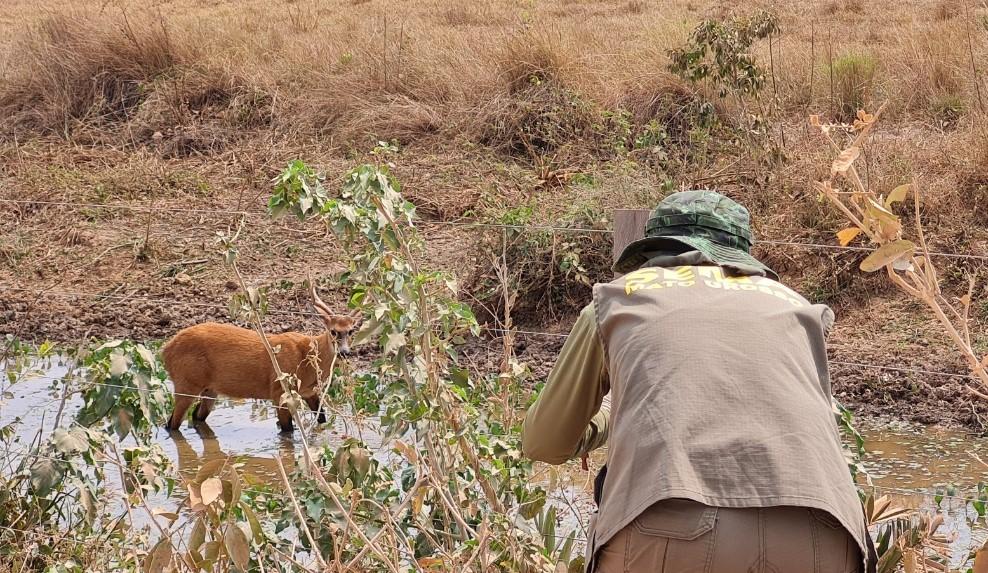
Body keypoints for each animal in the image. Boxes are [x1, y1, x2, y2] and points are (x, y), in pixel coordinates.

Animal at [163, 282, 358, 428]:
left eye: (351, 330)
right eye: (333, 331)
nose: (344, 352)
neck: (306, 360)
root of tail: (165, 350)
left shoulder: (309, 392)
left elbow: (322, 418)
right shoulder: (279, 391)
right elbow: (287, 430)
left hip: (210, 389)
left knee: (196, 416)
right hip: (186, 382)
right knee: (172, 423)